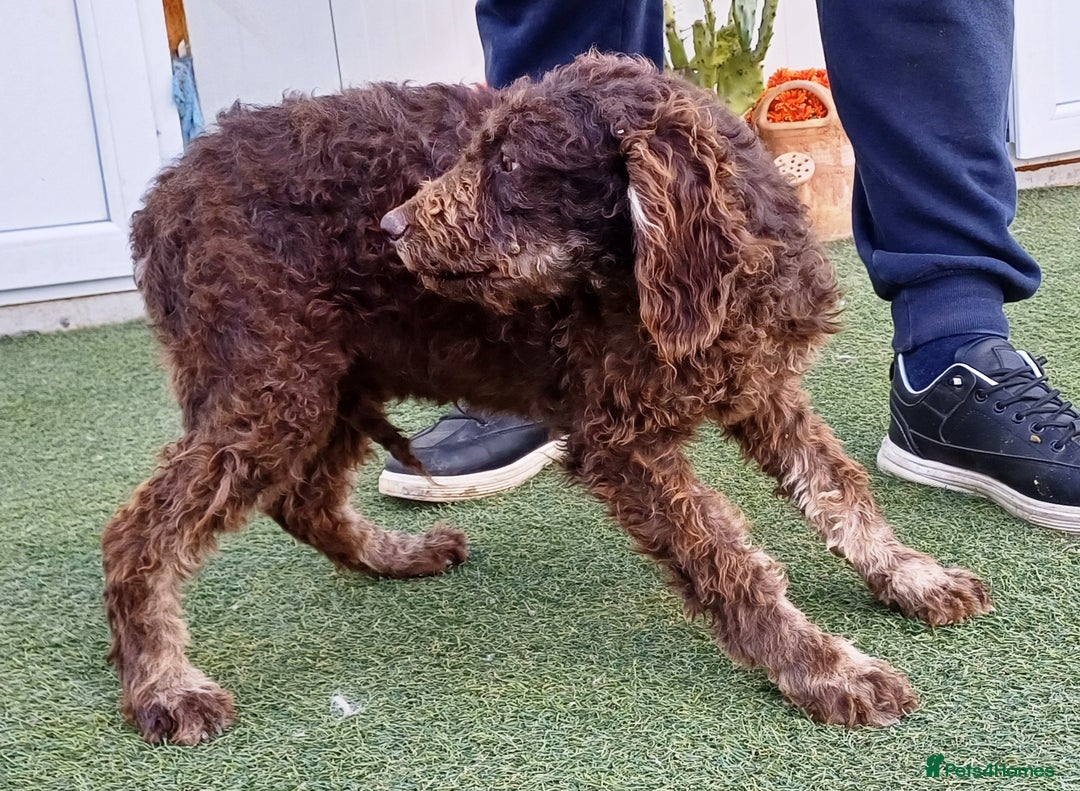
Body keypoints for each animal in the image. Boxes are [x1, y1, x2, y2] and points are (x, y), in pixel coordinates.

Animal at [103, 53, 991, 744]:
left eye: (506, 168)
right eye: (477, 152)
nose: (390, 227)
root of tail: (163, 196)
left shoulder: (761, 387)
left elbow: (841, 490)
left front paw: (911, 577)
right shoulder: (620, 441)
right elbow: (731, 564)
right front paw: (824, 667)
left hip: (328, 377)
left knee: (306, 500)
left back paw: (395, 555)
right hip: (275, 384)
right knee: (139, 532)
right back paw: (163, 684)